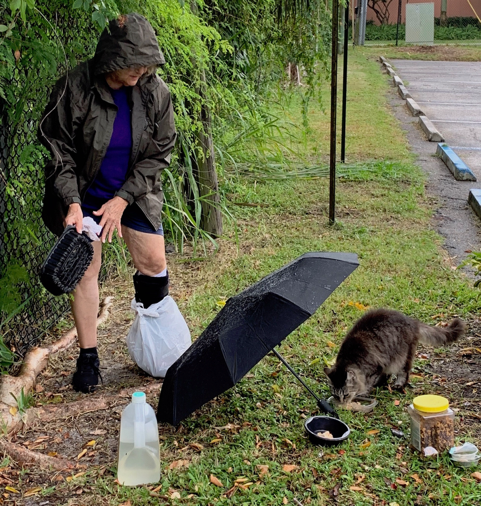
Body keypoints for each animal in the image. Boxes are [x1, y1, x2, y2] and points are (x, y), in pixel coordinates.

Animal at [324, 308, 464, 404]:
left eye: (346, 395)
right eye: (335, 395)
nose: (341, 403)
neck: (349, 359)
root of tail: (412, 322)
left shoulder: (376, 366)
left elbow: (368, 383)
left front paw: (364, 392)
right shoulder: (381, 363)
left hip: (402, 357)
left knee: (405, 372)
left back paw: (398, 385)